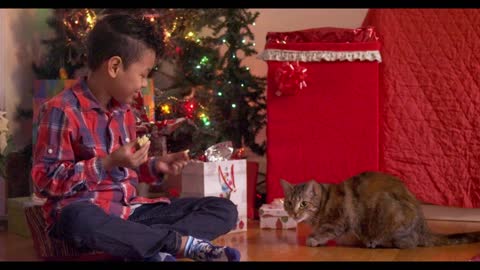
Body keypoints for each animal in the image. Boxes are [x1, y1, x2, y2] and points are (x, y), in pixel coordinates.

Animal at [280, 172, 480, 248]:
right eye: (288, 203)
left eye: (303, 204)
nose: (294, 213)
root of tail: (424, 227)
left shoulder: (338, 220)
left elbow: (327, 231)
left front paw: (313, 239)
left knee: (408, 244)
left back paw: (374, 242)